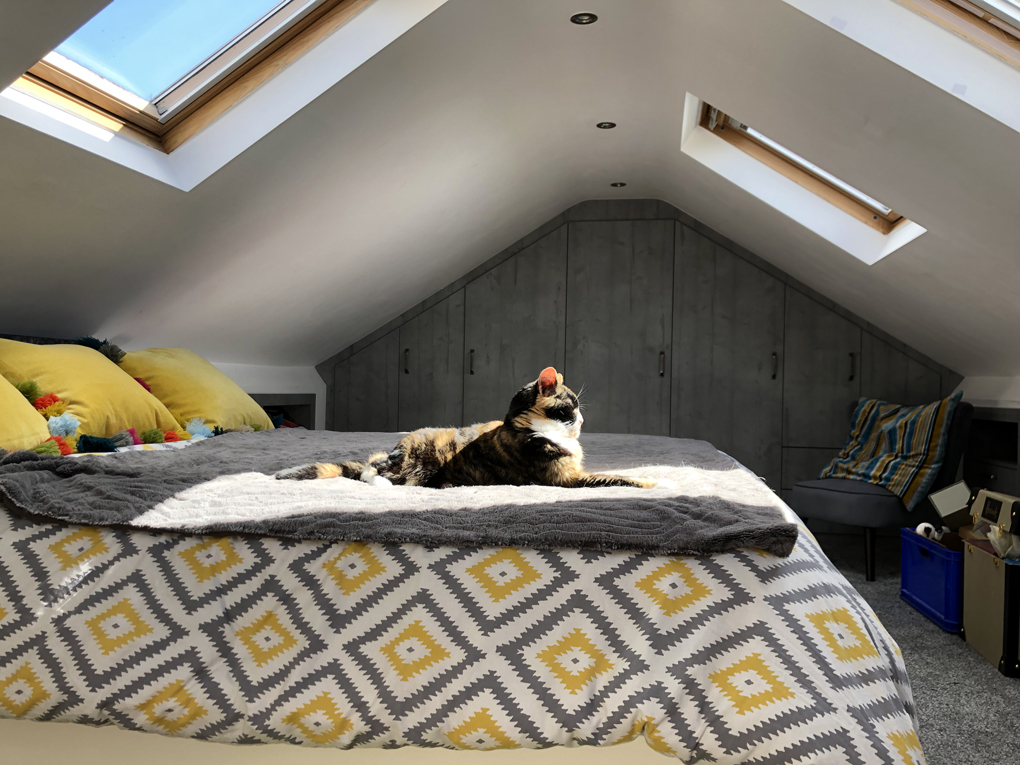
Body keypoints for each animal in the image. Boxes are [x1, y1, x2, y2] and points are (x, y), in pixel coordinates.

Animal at [275, 367, 656, 491]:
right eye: (571, 405)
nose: (583, 421)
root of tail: (400, 446)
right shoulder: (566, 479)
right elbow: (618, 478)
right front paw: (654, 482)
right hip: (418, 460)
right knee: (374, 469)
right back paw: (382, 482)